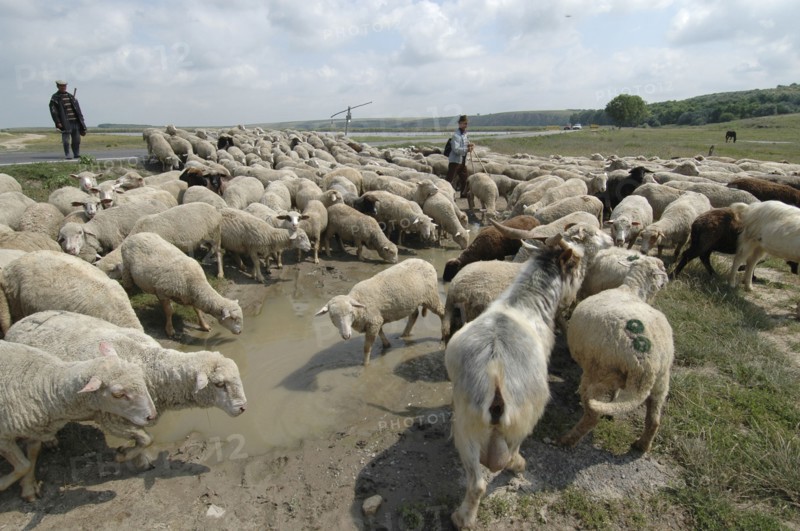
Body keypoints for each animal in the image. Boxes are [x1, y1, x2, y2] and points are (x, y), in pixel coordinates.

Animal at [0, 340, 156, 500]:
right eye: (118, 394)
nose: (152, 415)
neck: (45, 384)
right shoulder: (4, 437)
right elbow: (24, 465)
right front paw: (3, 484)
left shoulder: (35, 430)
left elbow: (31, 456)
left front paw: (28, 487)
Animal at [5, 310, 246, 467]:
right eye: (219, 384)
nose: (243, 408)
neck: (149, 363)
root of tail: (18, 323)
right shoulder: (110, 417)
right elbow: (147, 439)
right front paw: (125, 456)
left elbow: (144, 439)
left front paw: (138, 459)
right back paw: (50, 440)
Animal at [315, 258, 444, 366]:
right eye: (332, 316)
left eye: (350, 312)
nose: (346, 336)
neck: (359, 303)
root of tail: (426, 262)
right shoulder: (376, 320)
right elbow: (381, 332)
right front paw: (387, 344)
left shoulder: (373, 321)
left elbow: (367, 347)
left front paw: (365, 365)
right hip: (412, 301)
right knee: (414, 315)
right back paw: (404, 335)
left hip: (431, 296)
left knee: (442, 312)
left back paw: (444, 335)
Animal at [445, 235, 586, 529]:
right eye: (576, 263)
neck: (522, 302)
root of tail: (496, 371)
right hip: (527, 413)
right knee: (507, 455)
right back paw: (517, 465)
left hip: (466, 419)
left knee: (476, 482)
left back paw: (463, 518)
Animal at [560, 256, 672, 452]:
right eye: (662, 268)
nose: (667, 281)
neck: (631, 289)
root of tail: (646, 365)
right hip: (661, 382)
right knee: (654, 420)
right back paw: (642, 445)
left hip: (601, 372)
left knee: (592, 417)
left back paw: (567, 440)